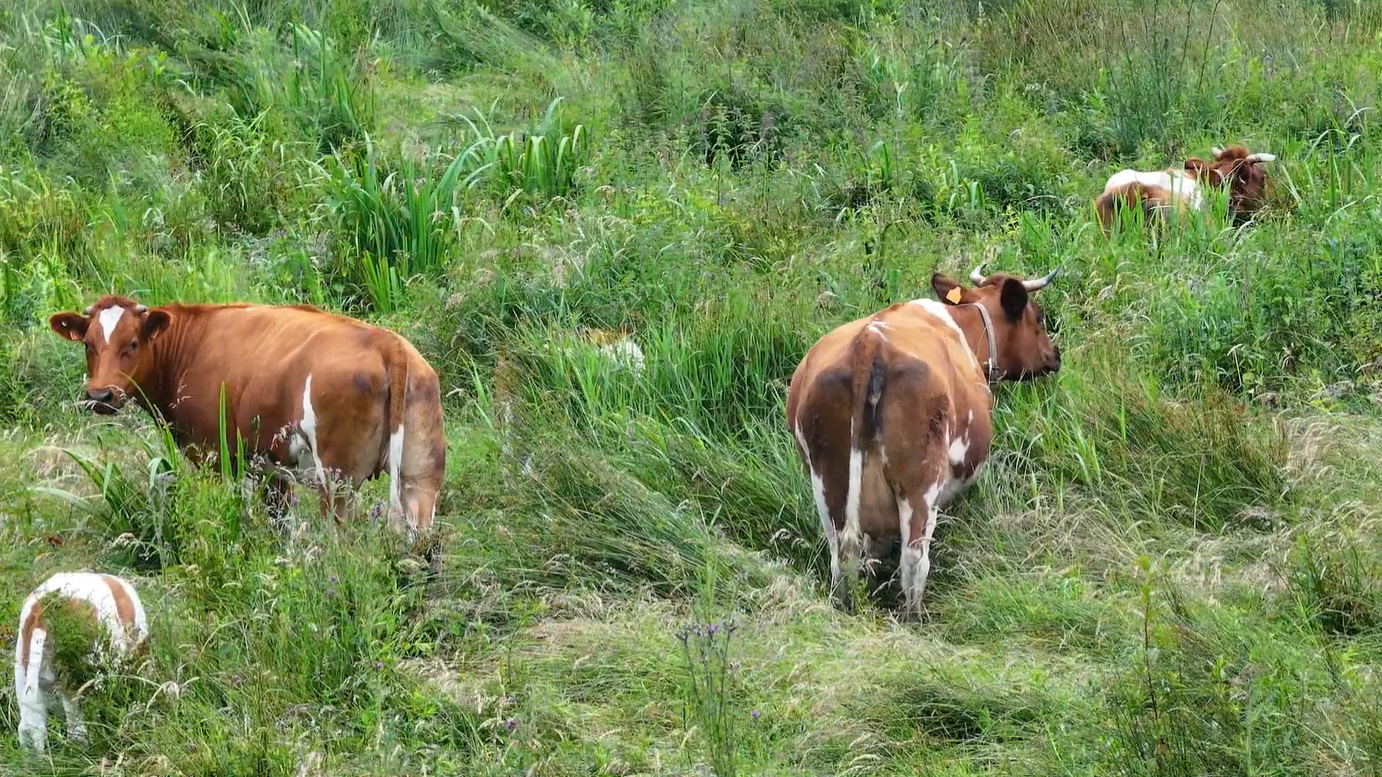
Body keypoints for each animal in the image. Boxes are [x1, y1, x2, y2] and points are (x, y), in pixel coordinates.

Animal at [48, 293, 445, 536]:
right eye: (88, 345)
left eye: (132, 344)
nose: (100, 395)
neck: (190, 345)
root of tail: (385, 341)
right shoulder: (272, 467)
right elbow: (279, 523)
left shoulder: (210, 454)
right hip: (420, 475)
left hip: (337, 480)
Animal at [784, 262, 1061, 613]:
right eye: (1037, 316)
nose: (1056, 354)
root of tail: (869, 341)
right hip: (921, 481)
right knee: (915, 559)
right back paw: (913, 616)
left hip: (827, 479)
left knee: (842, 555)